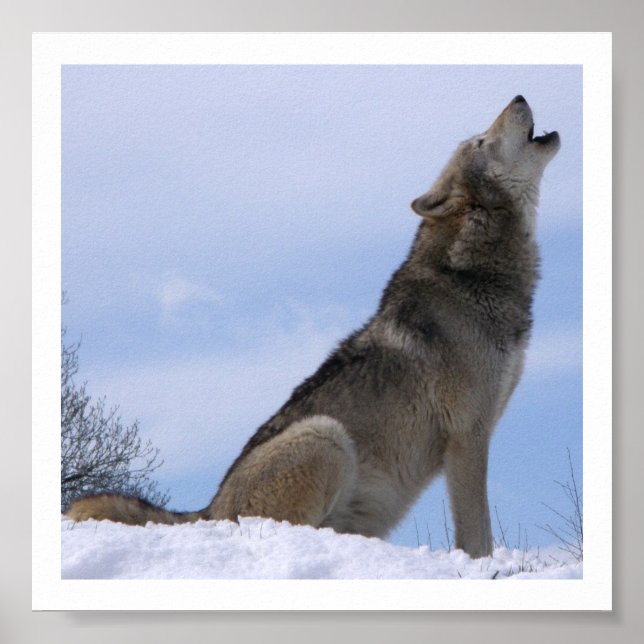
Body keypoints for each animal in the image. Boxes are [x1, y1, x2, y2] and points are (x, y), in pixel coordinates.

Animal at [66, 96, 560, 559]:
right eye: (480, 141)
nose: (519, 96)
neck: (472, 275)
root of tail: (207, 511)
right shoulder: (468, 435)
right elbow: (478, 534)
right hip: (326, 435)